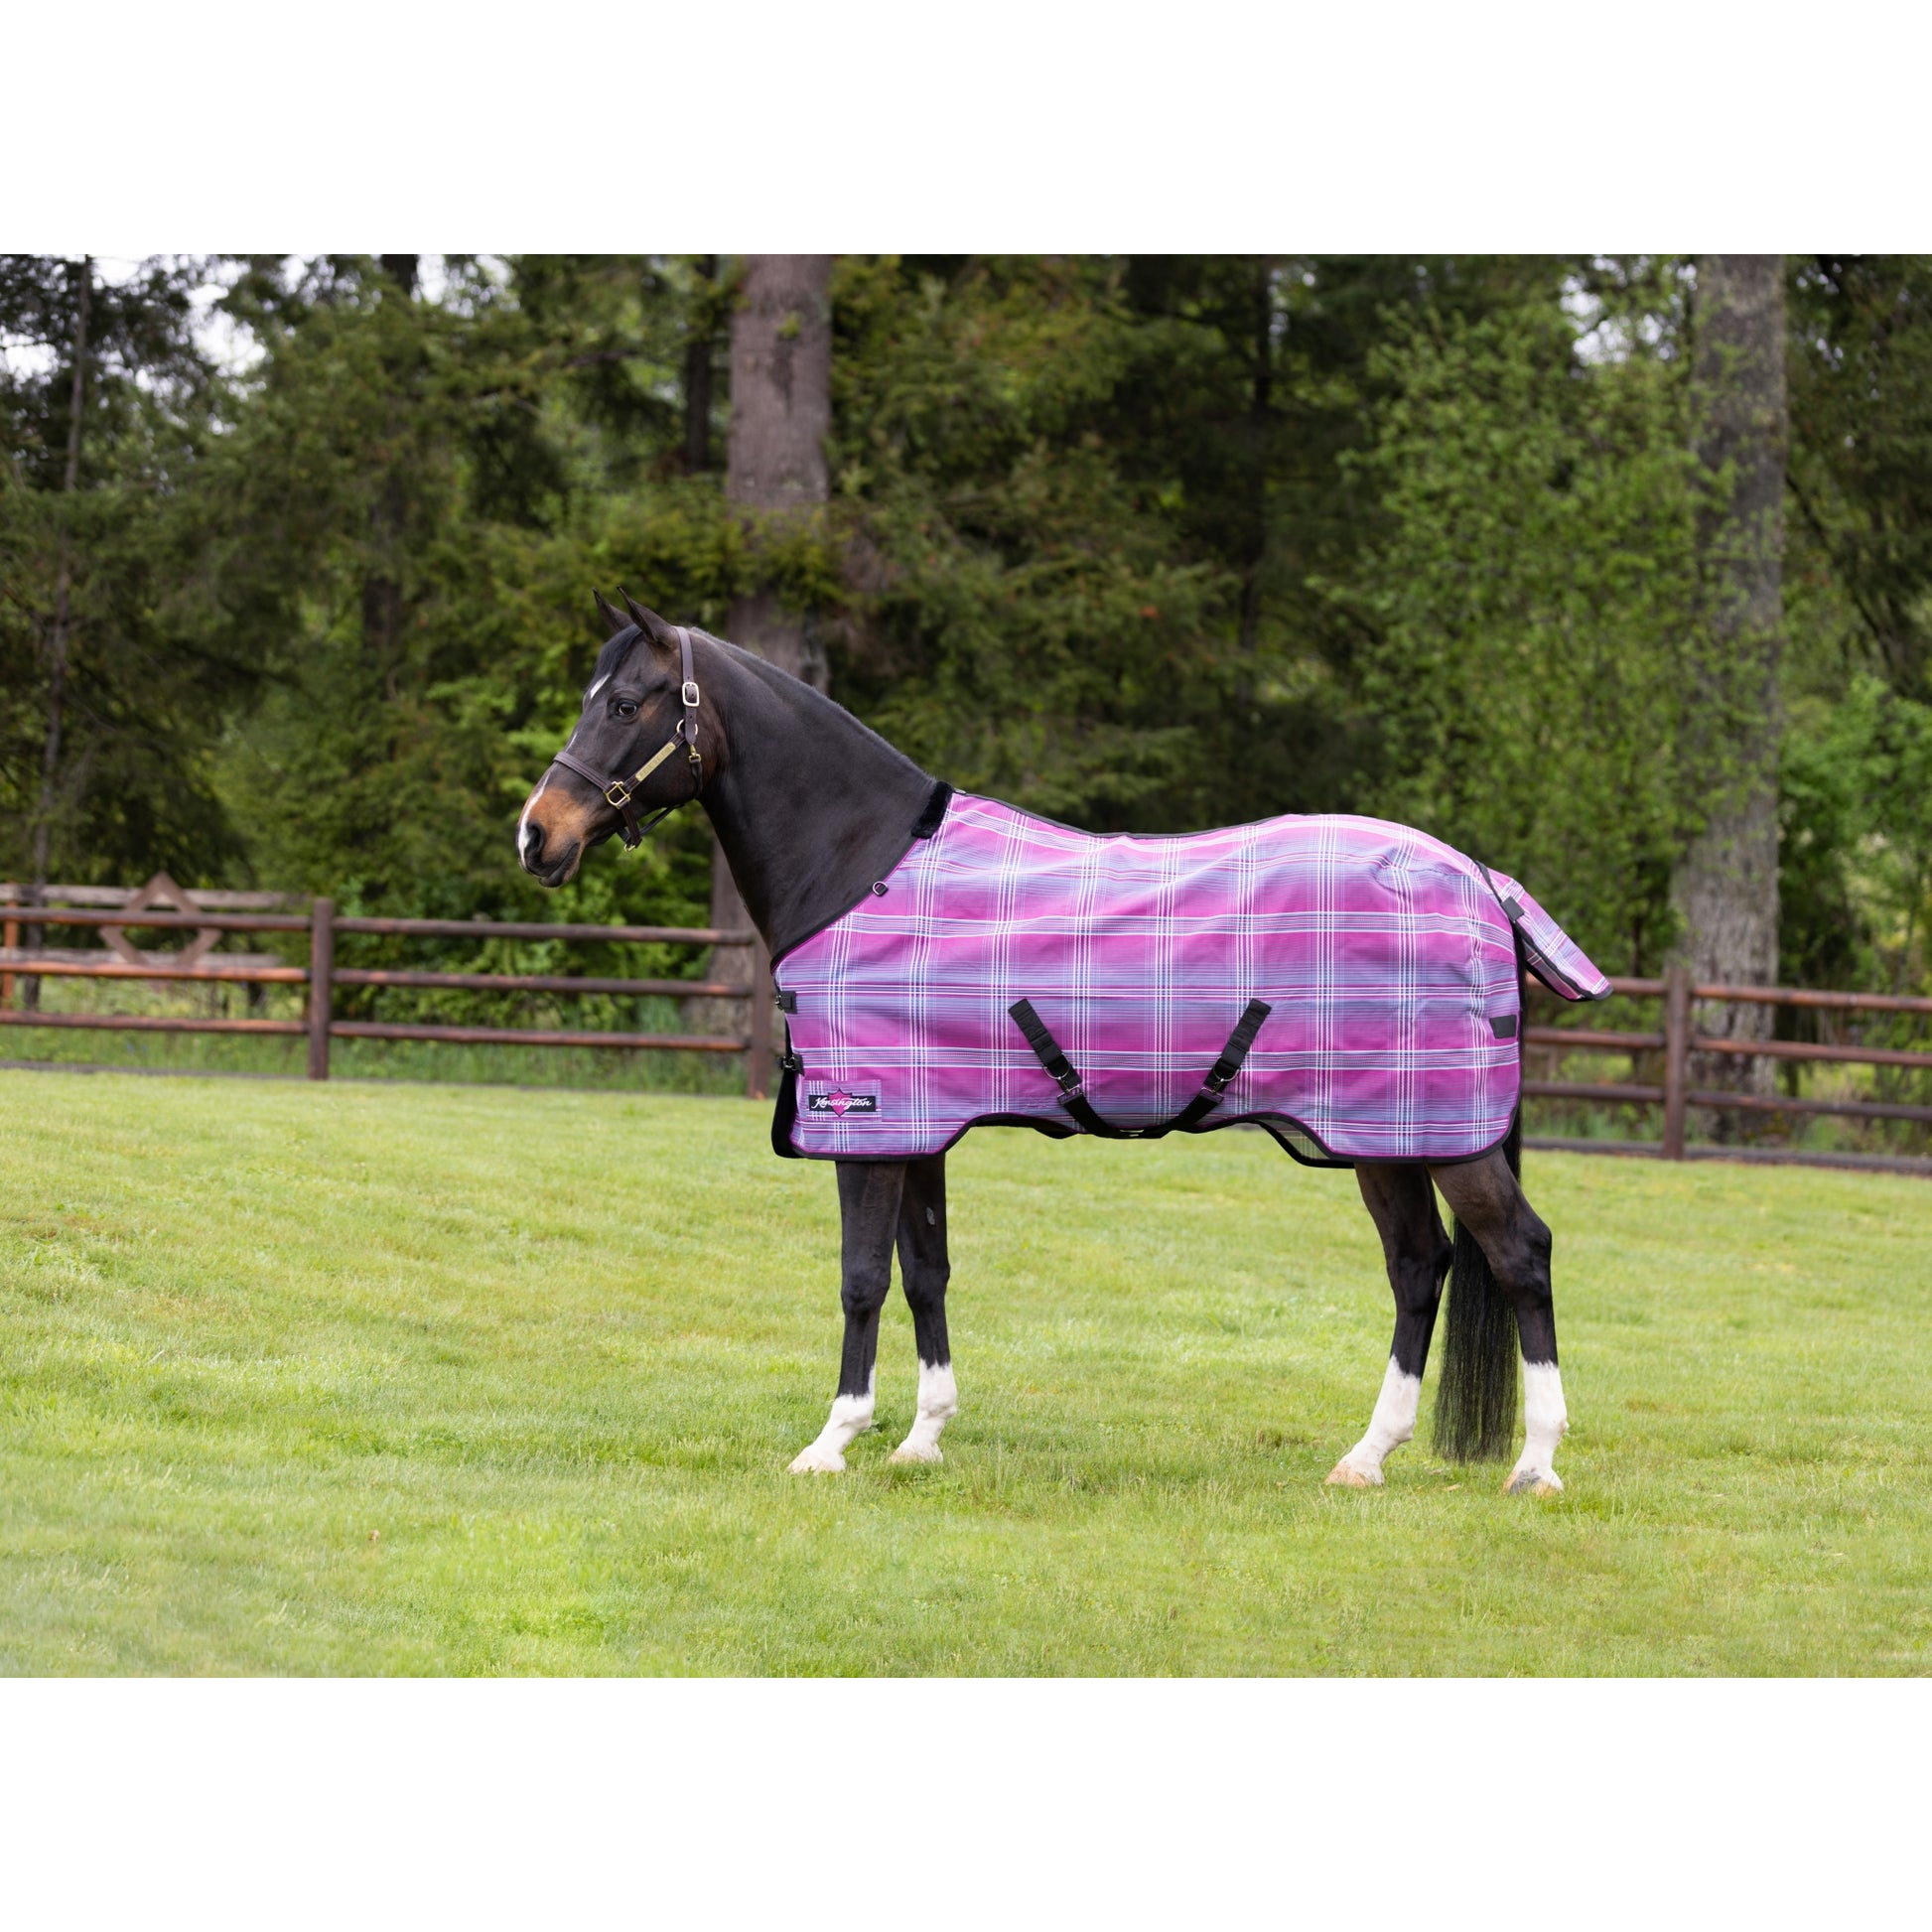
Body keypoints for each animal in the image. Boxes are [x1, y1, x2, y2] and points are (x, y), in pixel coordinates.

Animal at [517, 593, 1605, 1496]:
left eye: (626, 703)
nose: (536, 836)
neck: (861, 861)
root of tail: (1478, 878)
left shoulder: (864, 1123)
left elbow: (862, 1277)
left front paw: (832, 1443)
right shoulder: (918, 1126)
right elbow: (926, 1270)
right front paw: (922, 1438)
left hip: (1443, 1139)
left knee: (1519, 1255)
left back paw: (1537, 1465)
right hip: (1377, 1137)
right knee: (1420, 1267)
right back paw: (1365, 1457)